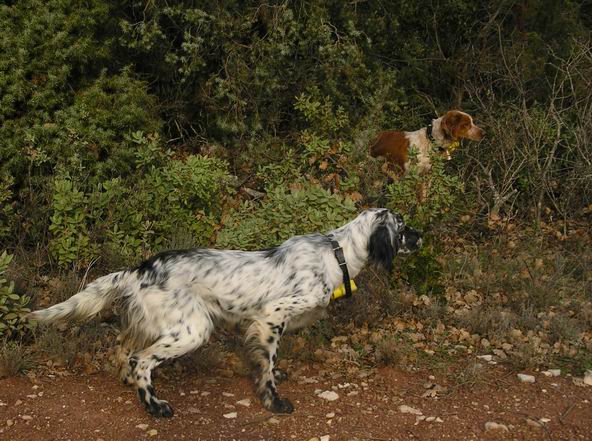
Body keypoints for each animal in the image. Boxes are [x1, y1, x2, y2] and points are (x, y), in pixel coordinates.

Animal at [27, 208, 420, 418]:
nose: (421, 238)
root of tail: (139, 269)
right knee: (141, 360)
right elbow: (267, 367)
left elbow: (269, 360)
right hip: (193, 328)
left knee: (125, 350)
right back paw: (155, 405)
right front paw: (274, 400)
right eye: (402, 227)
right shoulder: (271, 315)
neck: (336, 253)